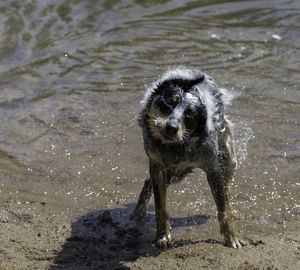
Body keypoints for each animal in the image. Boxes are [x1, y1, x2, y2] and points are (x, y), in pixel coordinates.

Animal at [132, 68, 245, 249]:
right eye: (170, 101)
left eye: (191, 113)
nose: (171, 127)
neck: (176, 147)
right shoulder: (157, 166)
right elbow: (160, 205)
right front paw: (163, 235)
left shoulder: (212, 167)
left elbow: (222, 207)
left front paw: (232, 237)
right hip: (174, 173)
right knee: (148, 182)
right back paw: (138, 213)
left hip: (227, 159)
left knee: (226, 190)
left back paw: (232, 210)